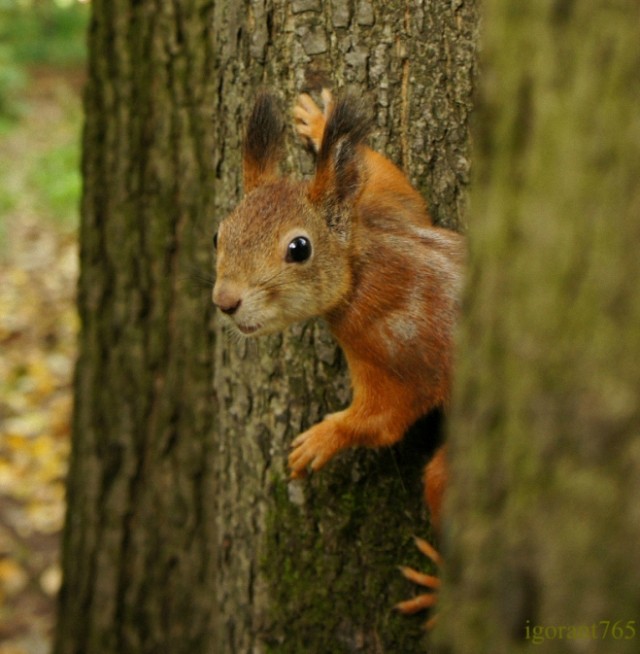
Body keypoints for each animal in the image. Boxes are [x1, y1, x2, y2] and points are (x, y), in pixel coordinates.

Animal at [212, 89, 462, 624]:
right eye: (218, 234)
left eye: (299, 248)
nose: (225, 301)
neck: (360, 262)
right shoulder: (396, 215)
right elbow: (392, 181)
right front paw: (319, 121)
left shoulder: (389, 345)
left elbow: (384, 420)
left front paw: (322, 439)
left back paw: (439, 590)